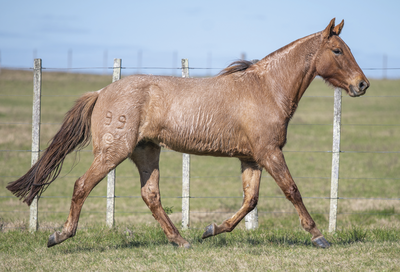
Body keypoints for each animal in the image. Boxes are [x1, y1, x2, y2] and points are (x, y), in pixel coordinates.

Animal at [6, 18, 368, 249]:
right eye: (338, 50)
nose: (362, 84)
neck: (266, 88)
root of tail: (101, 92)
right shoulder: (269, 153)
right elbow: (292, 191)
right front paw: (318, 236)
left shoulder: (252, 158)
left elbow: (250, 201)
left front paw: (212, 230)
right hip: (112, 152)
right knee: (82, 185)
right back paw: (60, 235)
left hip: (146, 152)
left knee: (150, 195)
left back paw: (182, 240)